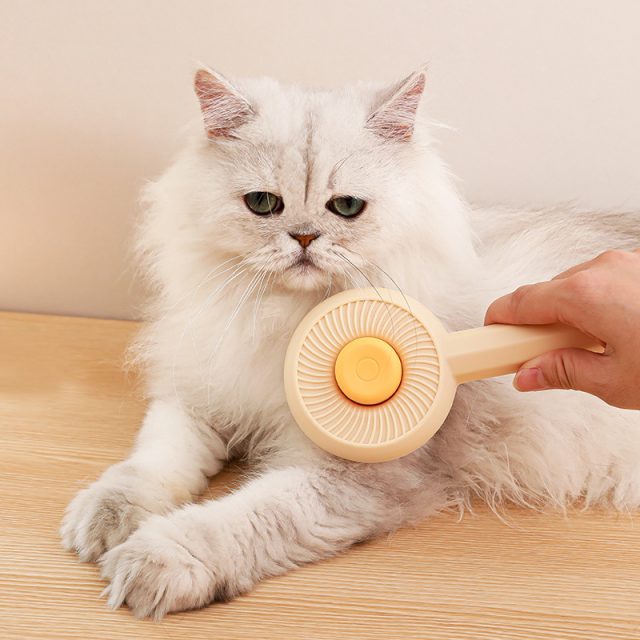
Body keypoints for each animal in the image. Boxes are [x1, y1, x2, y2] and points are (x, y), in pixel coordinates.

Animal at [61, 66, 640, 619]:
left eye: (345, 208)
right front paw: (104, 518)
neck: (285, 322)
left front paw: (152, 561)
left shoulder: (344, 479)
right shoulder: (199, 398)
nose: (303, 237)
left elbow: (231, 521)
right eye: (262, 204)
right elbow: (152, 462)